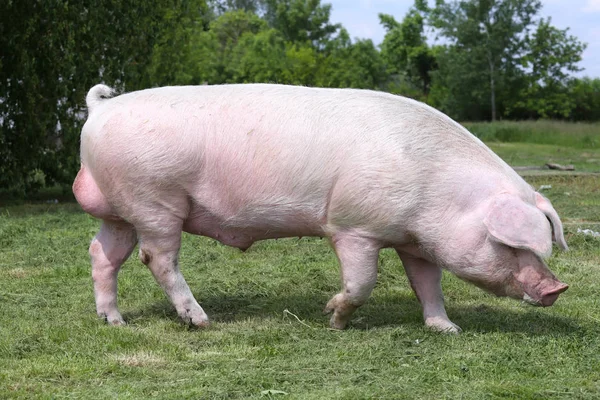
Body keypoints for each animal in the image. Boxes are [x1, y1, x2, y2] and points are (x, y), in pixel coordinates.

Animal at [72, 83, 568, 332]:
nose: (557, 288)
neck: (438, 193)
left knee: (103, 255)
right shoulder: (353, 226)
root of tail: (99, 110)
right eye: (512, 246)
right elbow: (362, 282)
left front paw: (446, 329)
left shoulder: (415, 240)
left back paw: (114, 322)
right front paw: (333, 319)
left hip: (119, 209)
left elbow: (428, 284)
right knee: (157, 258)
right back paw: (201, 321)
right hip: (154, 199)